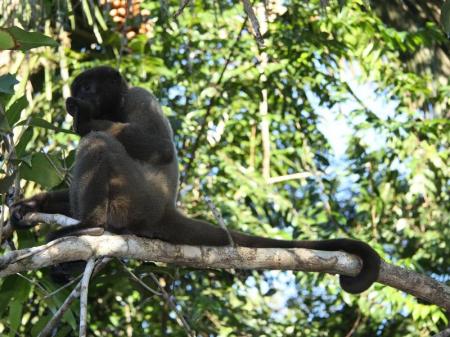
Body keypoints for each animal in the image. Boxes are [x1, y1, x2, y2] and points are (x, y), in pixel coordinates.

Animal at [11, 67, 380, 292]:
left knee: (97, 142)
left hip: (135, 198)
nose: (81, 97)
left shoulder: (140, 97)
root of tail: (165, 210)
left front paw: (85, 117)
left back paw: (92, 224)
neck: (115, 105)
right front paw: (31, 204)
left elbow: (159, 146)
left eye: (88, 87)